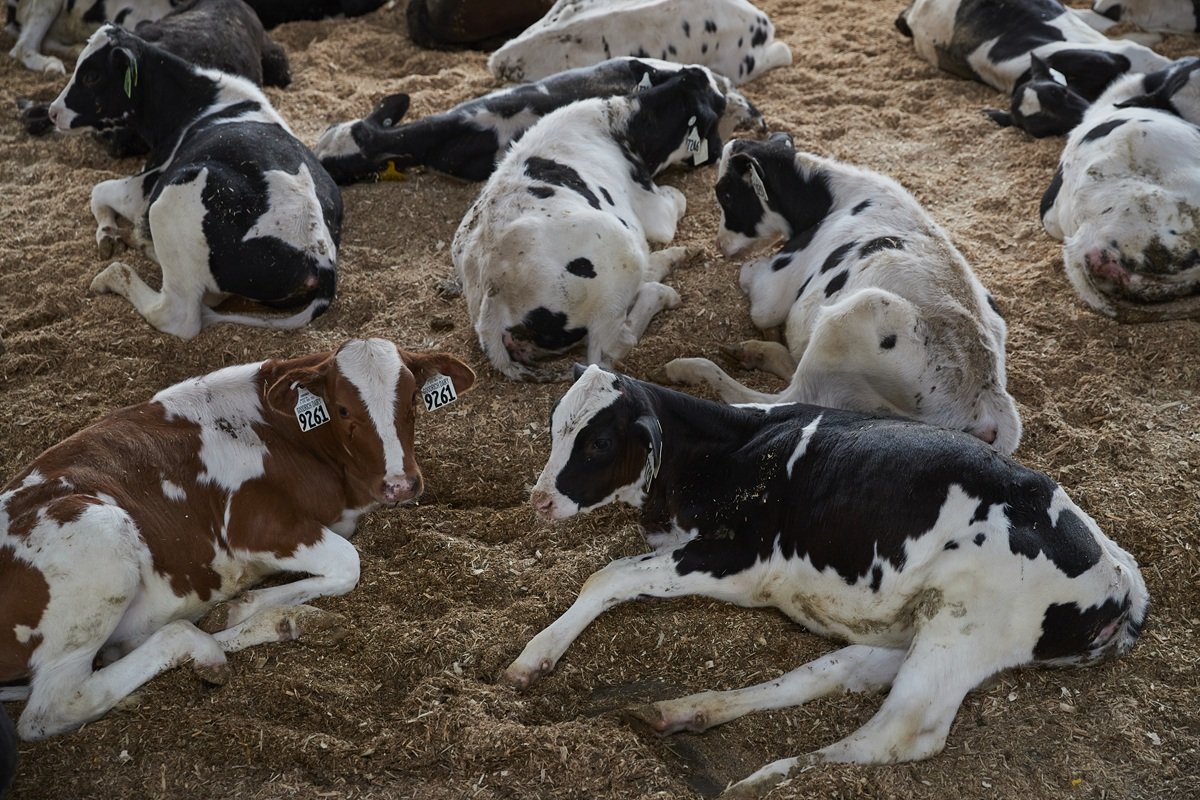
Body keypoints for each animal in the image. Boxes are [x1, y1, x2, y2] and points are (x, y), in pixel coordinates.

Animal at [0, 339, 476, 740]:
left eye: (413, 399)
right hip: (102, 539)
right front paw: (243, 606)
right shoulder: (250, 524)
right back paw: (209, 639)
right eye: (342, 409)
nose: (399, 484)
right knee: (53, 707)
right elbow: (348, 563)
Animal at [47, 25, 343, 339]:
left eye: (91, 76)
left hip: (171, 199)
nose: (53, 111)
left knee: (176, 314)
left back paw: (112, 275)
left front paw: (107, 235)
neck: (201, 101)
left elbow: (97, 191)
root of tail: (320, 259)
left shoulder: (146, 188)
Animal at [451, 67, 729, 381]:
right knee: (611, 346)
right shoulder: (655, 211)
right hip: (620, 252)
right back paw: (663, 291)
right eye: (720, 106)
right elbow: (678, 199)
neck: (618, 123)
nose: (717, 152)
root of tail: (493, 295)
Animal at [507, 364, 1149, 799]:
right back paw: (687, 710)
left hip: (963, 623)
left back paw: (764, 778)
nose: (538, 499)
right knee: (829, 672)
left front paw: (534, 656)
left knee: (900, 732)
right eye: (554, 426)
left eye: (597, 441)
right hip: (914, 628)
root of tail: (1120, 577)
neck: (724, 455)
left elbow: (607, 575)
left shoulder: (738, 559)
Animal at [664, 134, 1022, 454]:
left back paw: (689, 368)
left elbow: (755, 294)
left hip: (856, 312)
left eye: (726, 193)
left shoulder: (776, 288)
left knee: (783, 398)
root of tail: (989, 396)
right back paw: (752, 351)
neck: (835, 197)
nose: (719, 245)